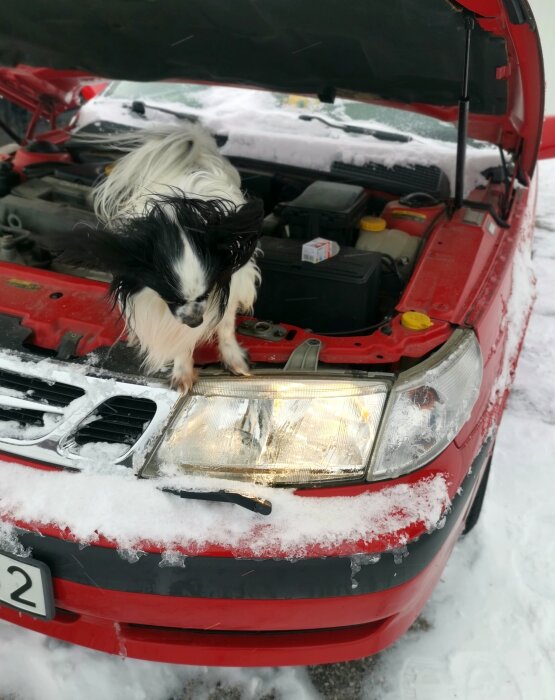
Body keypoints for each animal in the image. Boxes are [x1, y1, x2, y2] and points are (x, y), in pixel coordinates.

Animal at [57, 124, 264, 388]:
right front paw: (183, 371)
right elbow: (179, 339)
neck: (178, 218)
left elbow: (225, 326)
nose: (195, 321)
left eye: (206, 294)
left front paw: (234, 359)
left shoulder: (229, 283)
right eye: (171, 298)